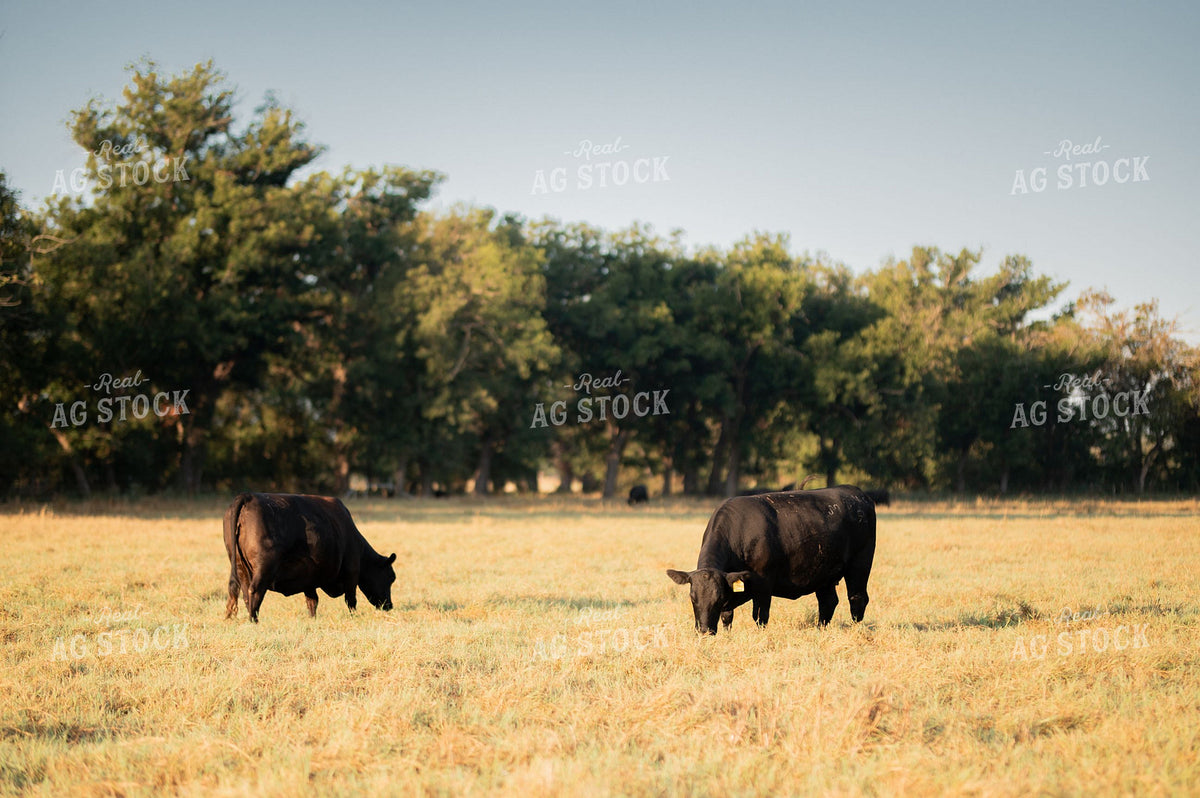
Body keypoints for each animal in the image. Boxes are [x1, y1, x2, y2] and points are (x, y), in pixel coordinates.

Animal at [223, 492, 396, 623]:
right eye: (390, 577)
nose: (389, 605)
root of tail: (249, 496)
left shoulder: (309, 578)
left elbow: (312, 601)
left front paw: (312, 619)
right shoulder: (351, 572)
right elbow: (351, 600)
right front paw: (354, 617)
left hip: (240, 566)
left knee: (245, 594)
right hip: (263, 568)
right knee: (254, 591)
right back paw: (254, 621)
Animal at [667, 485, 876, 634]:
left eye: (717, 598)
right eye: (692, 598)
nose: (704, 631)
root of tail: (856, 493)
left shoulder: (763, 584)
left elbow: (760, 616)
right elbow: (727, 617)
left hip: (860, 564)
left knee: (857, 598)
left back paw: (856, 629)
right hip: (824, 573)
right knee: (828, 601)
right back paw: (820, 630)